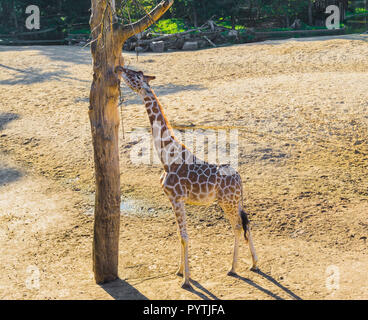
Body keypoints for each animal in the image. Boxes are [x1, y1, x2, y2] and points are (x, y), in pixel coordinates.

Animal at [116, 65, 258, 290]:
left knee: (236, 227)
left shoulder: (177, 198)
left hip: (227, 202)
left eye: (134, 74)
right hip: (235, 202)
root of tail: (240, 179)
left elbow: (184, 236)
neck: (167, 157)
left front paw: (186, 280)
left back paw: (233, 268)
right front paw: (179, 270)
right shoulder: (173, 200)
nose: (119, 68)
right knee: (246, 223)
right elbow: (178, 234)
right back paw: (254, 263)